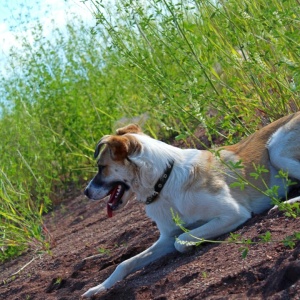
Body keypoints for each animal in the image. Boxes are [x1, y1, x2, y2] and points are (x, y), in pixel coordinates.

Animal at [82, 112, 300, 298]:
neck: (165, 180)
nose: (86, 192)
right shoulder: (166, 238)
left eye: (101, 167)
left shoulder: (234, 213)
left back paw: (286, 203)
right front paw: (98, 288)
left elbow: (182, 240)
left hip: (275, 150)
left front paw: (193, 243)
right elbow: (125, 264)